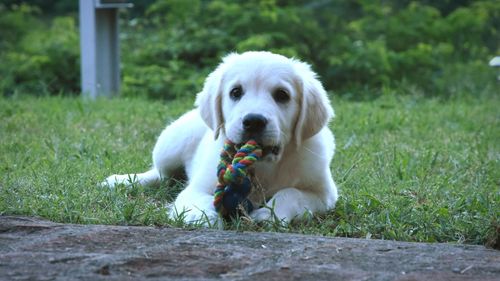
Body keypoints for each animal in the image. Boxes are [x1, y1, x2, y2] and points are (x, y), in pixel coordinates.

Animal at [103, 51, 338, 224]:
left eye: (282, 95)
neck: (263, 166)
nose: (254, 121)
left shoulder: (324, 193)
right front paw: (199, 217)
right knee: (160, 174)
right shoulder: (197, 187)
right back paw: (121, 181)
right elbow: (199, 199)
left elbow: (291, 193)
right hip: (169, 147)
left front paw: (268, 214)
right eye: (235, 92)